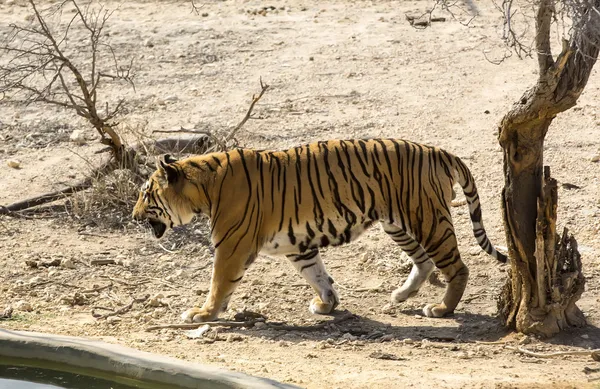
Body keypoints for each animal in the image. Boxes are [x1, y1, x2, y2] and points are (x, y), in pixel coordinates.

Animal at [132, 138, 506, 322]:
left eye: (145, 194)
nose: (134, 216)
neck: (204, 187)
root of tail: (438, 150)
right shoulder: (299, 245)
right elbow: (318, 274)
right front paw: (327, 304)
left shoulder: (231, 246)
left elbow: (219, 283)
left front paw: (203, 313)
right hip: (398, 222)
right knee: (424, 261)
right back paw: (401, 295)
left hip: (426, 219)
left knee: (457, 267)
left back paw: (442, 309)